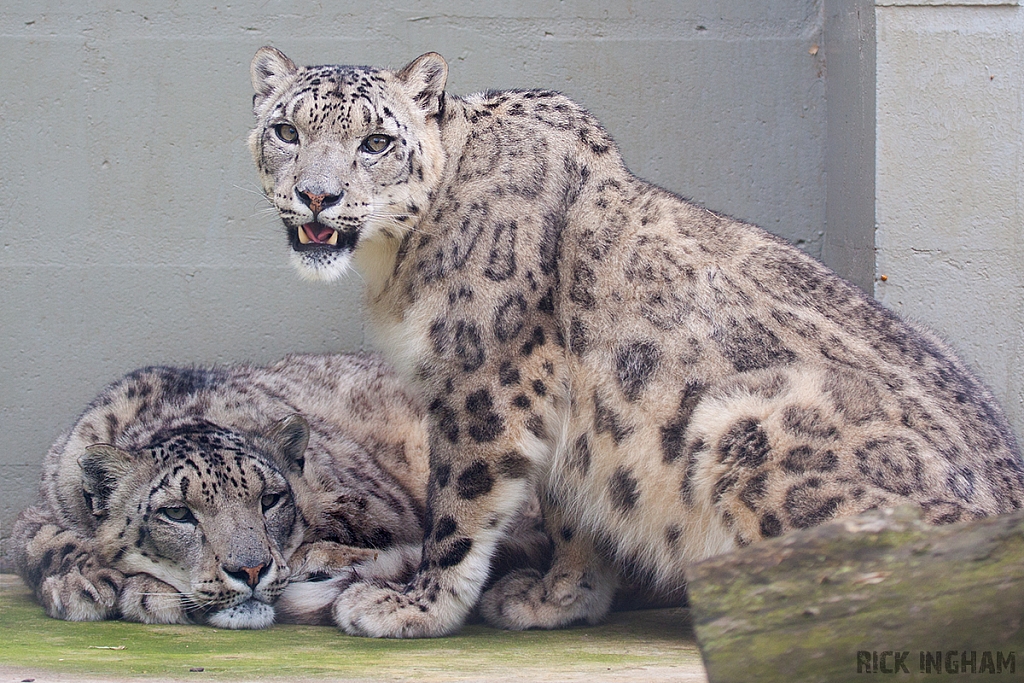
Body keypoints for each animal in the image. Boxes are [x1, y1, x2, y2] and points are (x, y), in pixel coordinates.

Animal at [9, 356, 440, 626]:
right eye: (177, 512)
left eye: (270, 499)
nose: (250, 571)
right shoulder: (50, 499)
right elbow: (35, 537)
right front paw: (84, 583)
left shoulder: (373, 504)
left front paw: (144, 592)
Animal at [245, 48, 1024, 643]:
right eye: (285, 129)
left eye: (375, 142)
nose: (316, 195)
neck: (393, 263)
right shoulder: (573, 419)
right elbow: (573, 511)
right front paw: (559, 597)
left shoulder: (484, 386)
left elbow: (458, 509)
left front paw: (415, 607)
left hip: (743, 423)